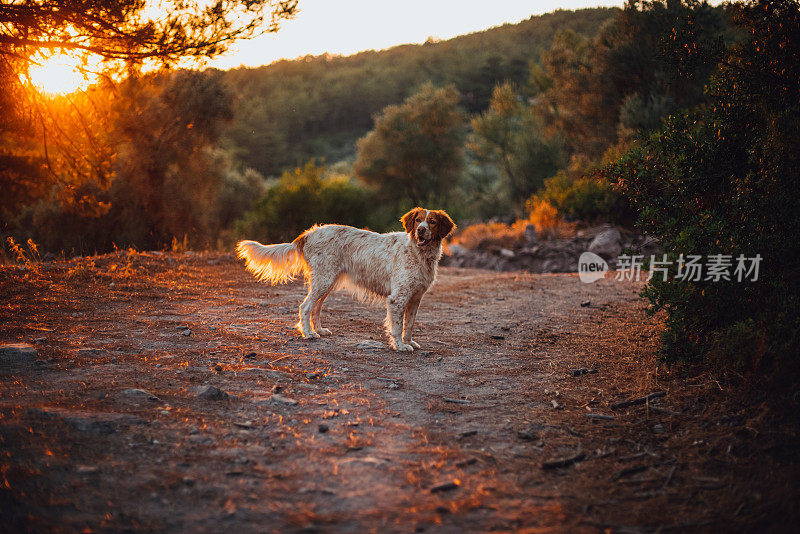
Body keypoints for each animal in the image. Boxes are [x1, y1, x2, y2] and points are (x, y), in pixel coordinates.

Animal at [234, 206, 454, 352]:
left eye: (432, 222)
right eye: (418, 220)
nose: (420, 230)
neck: (418, 253)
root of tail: (307, 234)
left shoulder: (415, 298)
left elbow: (409, 325)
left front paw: (408, 342)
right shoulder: (397, 298)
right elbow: (397, 326)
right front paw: (399, 346)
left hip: (327, 282)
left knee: (315, 308)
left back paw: (319, 330)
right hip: (323, 280)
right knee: (305, 307)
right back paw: (308, 334)